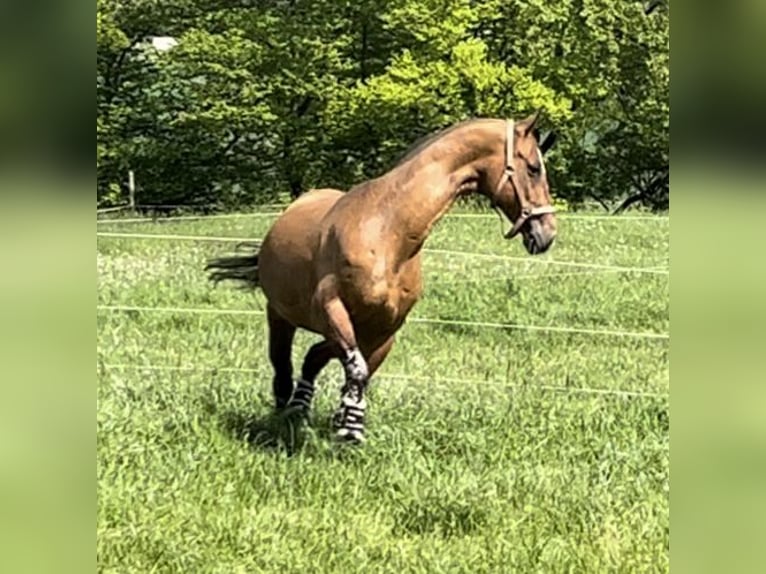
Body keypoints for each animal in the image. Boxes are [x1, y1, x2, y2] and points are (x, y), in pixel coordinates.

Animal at [206, 113, 558, 444]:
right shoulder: (331, 308)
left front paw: (346, 424)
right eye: (533, 168)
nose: (547, 233)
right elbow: (357, 369)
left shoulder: (386, 327)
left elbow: (361, 373)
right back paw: (285, 416)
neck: (387, 231)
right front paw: (349, 432)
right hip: (280, 316)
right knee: (283, 367)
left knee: (313, 358)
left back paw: (300, 409)